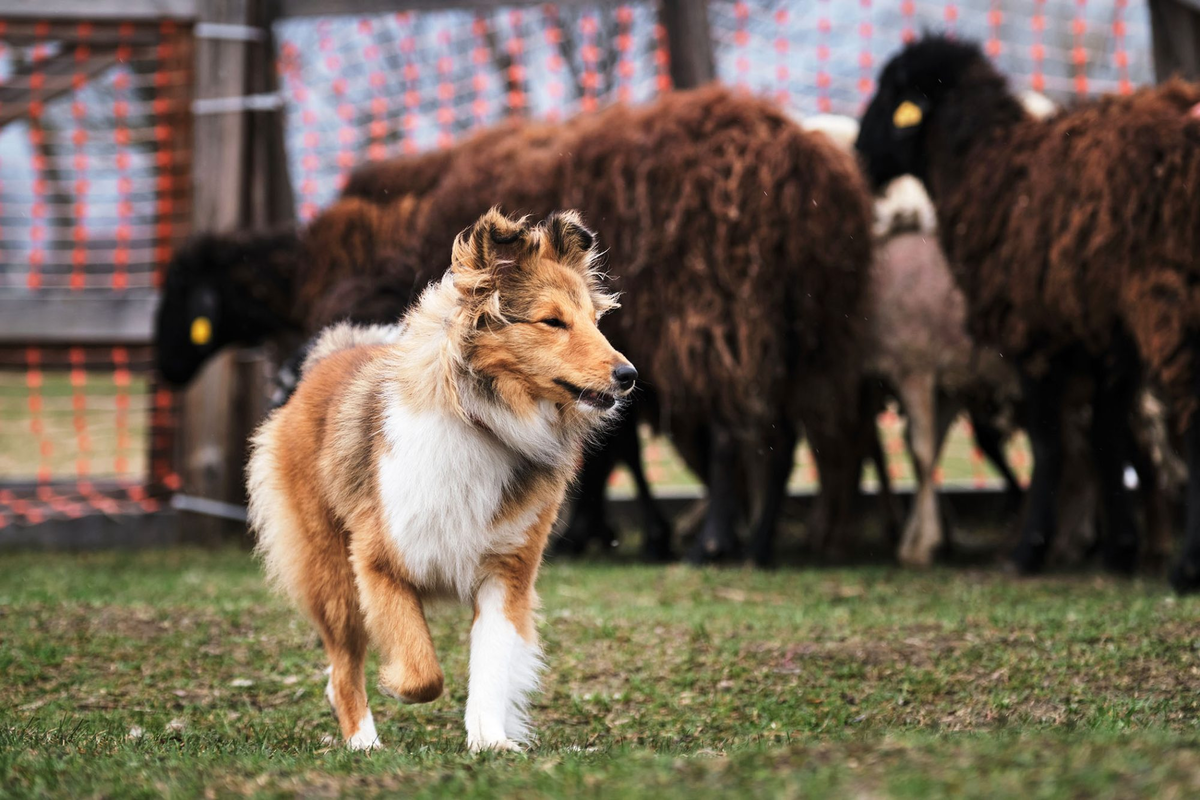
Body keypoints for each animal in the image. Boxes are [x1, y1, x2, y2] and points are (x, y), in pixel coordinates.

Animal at [246, 206, 638, 753]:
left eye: (595, 322)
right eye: (553, 321)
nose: (629, 375)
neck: (487, 423)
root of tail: (324, 361)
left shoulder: (506, 572)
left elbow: (491, 665)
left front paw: (490, 740)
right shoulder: (378, 561)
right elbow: (421, 673)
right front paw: (396, 684)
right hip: (331, 574)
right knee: (344, 668)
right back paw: (363, 742)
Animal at [854, 34, 1200, 592]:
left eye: (890, 98)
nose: (859, 157)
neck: (986, 167)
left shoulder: (1030, 332)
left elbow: (1046, 441)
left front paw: (1026, 551)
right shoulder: (1105, 336)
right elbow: (1106, 435)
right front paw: (1120, 551)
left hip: (1167, 297)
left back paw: (1184, 566)